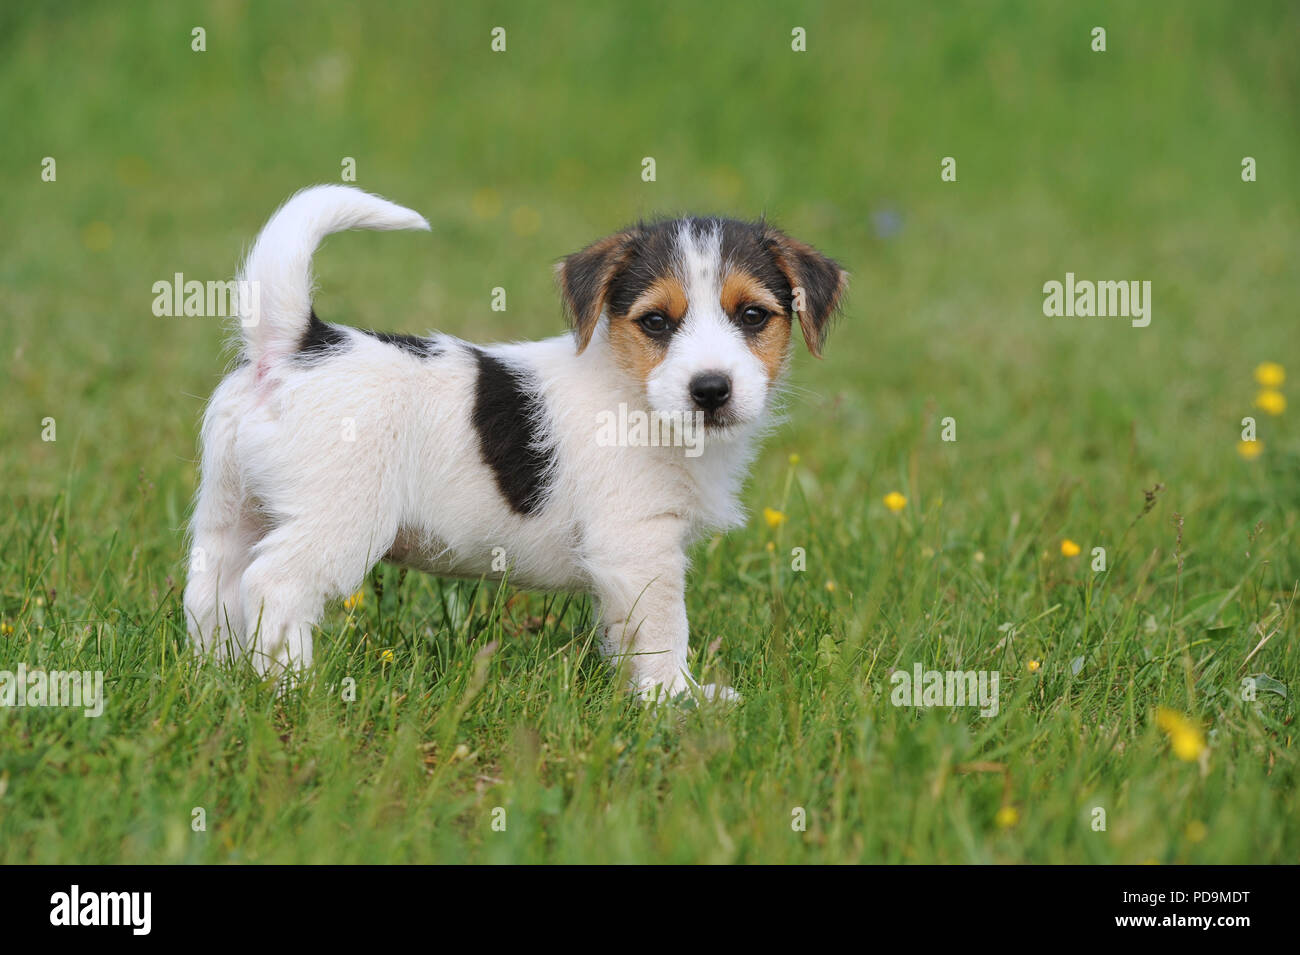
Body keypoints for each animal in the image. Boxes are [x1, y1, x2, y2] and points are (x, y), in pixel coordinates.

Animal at [188, 187, 847, 701]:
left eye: (753, 315)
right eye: (656, 321)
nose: (710, 389)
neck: (631, 390)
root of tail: (296, 345)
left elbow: (625, 633)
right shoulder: (640, 548)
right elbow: (664, 632)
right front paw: (676, 701)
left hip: (231, 509)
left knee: (211, 592)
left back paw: (215, 675)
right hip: (337, 522)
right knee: (272, 586)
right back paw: (295, 689)